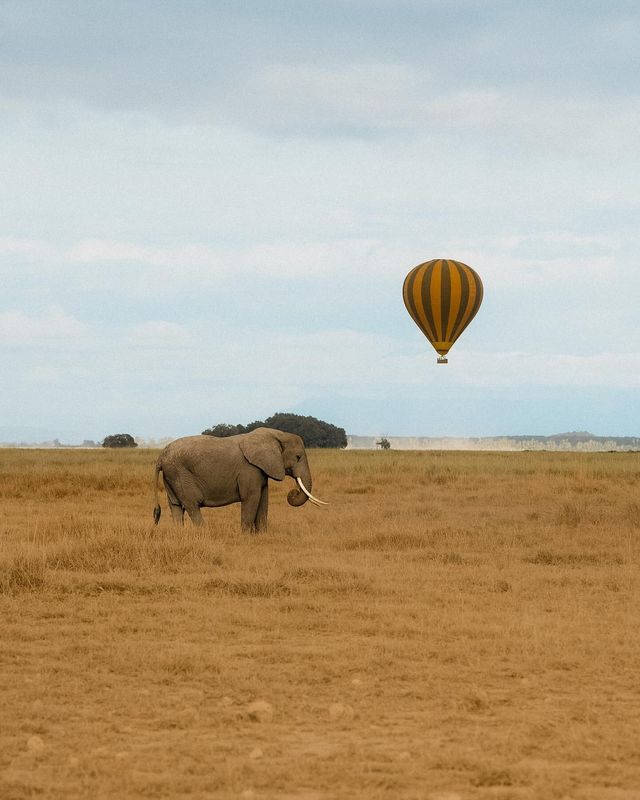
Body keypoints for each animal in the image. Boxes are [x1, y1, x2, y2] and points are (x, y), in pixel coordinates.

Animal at [152, 424, 328, 532]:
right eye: (298, 457)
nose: (292, 492)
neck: (276, 435)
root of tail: (161, 456)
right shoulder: (249, 469)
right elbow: (251, 497)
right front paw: (246, 535)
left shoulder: (261, 469)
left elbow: (263, 499)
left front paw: (262, 535)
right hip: (180, 474)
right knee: (192, 504)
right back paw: (205, 532)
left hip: (171, 476)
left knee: (175, 506)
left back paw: (179, 533)